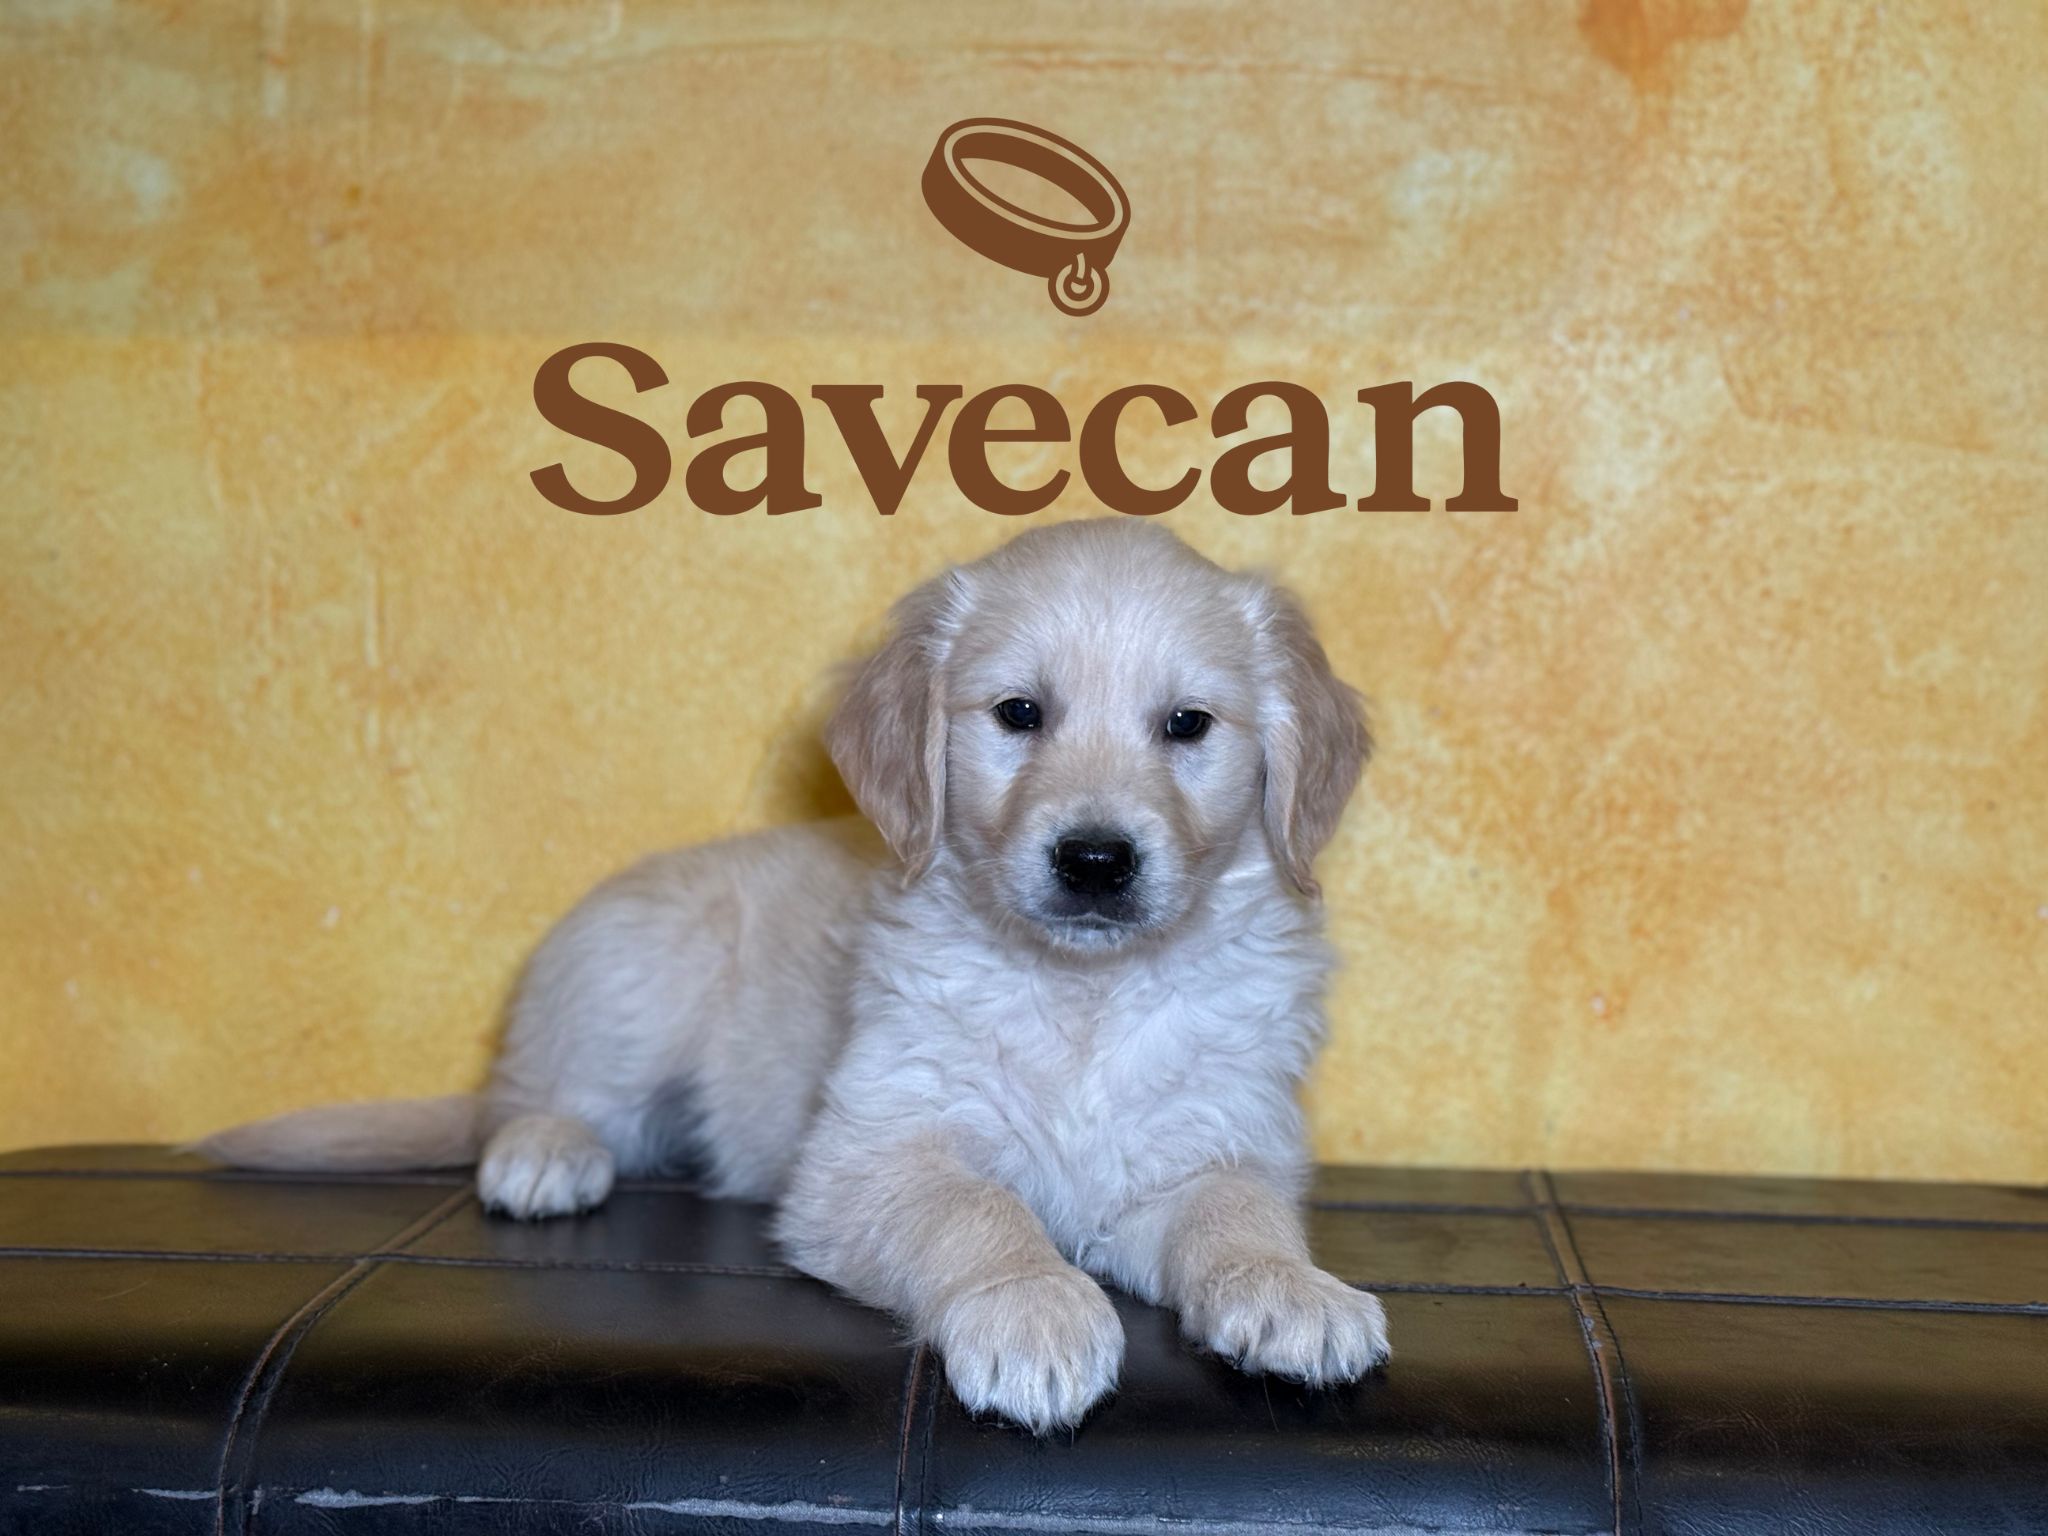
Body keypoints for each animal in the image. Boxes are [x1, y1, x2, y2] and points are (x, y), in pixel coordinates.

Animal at [198, 518, 1388, 1432]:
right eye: (1019, 714)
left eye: (1187, 726)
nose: (1095, 862)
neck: (1082, 995)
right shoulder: (870, 1154)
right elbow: (977, 1210)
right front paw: (1031, 1308)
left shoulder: (1209, 1140)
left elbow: (1235, 1215)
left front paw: (1292, 1290)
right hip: (632, 983)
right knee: (534, 1098)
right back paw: (545, 1156)